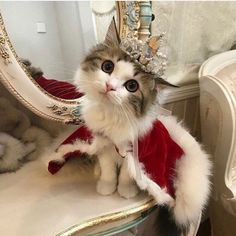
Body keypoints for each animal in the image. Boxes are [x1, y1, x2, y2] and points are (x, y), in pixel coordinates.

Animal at [52, 20, 211, 234]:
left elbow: (127, 175)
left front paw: (125, 191)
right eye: (107, 66)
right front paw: (106, 186)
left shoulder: (133, 152)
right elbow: (108, 169)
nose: (109, 86)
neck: (112, 115)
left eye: (132, 86)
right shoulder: (103, 144)